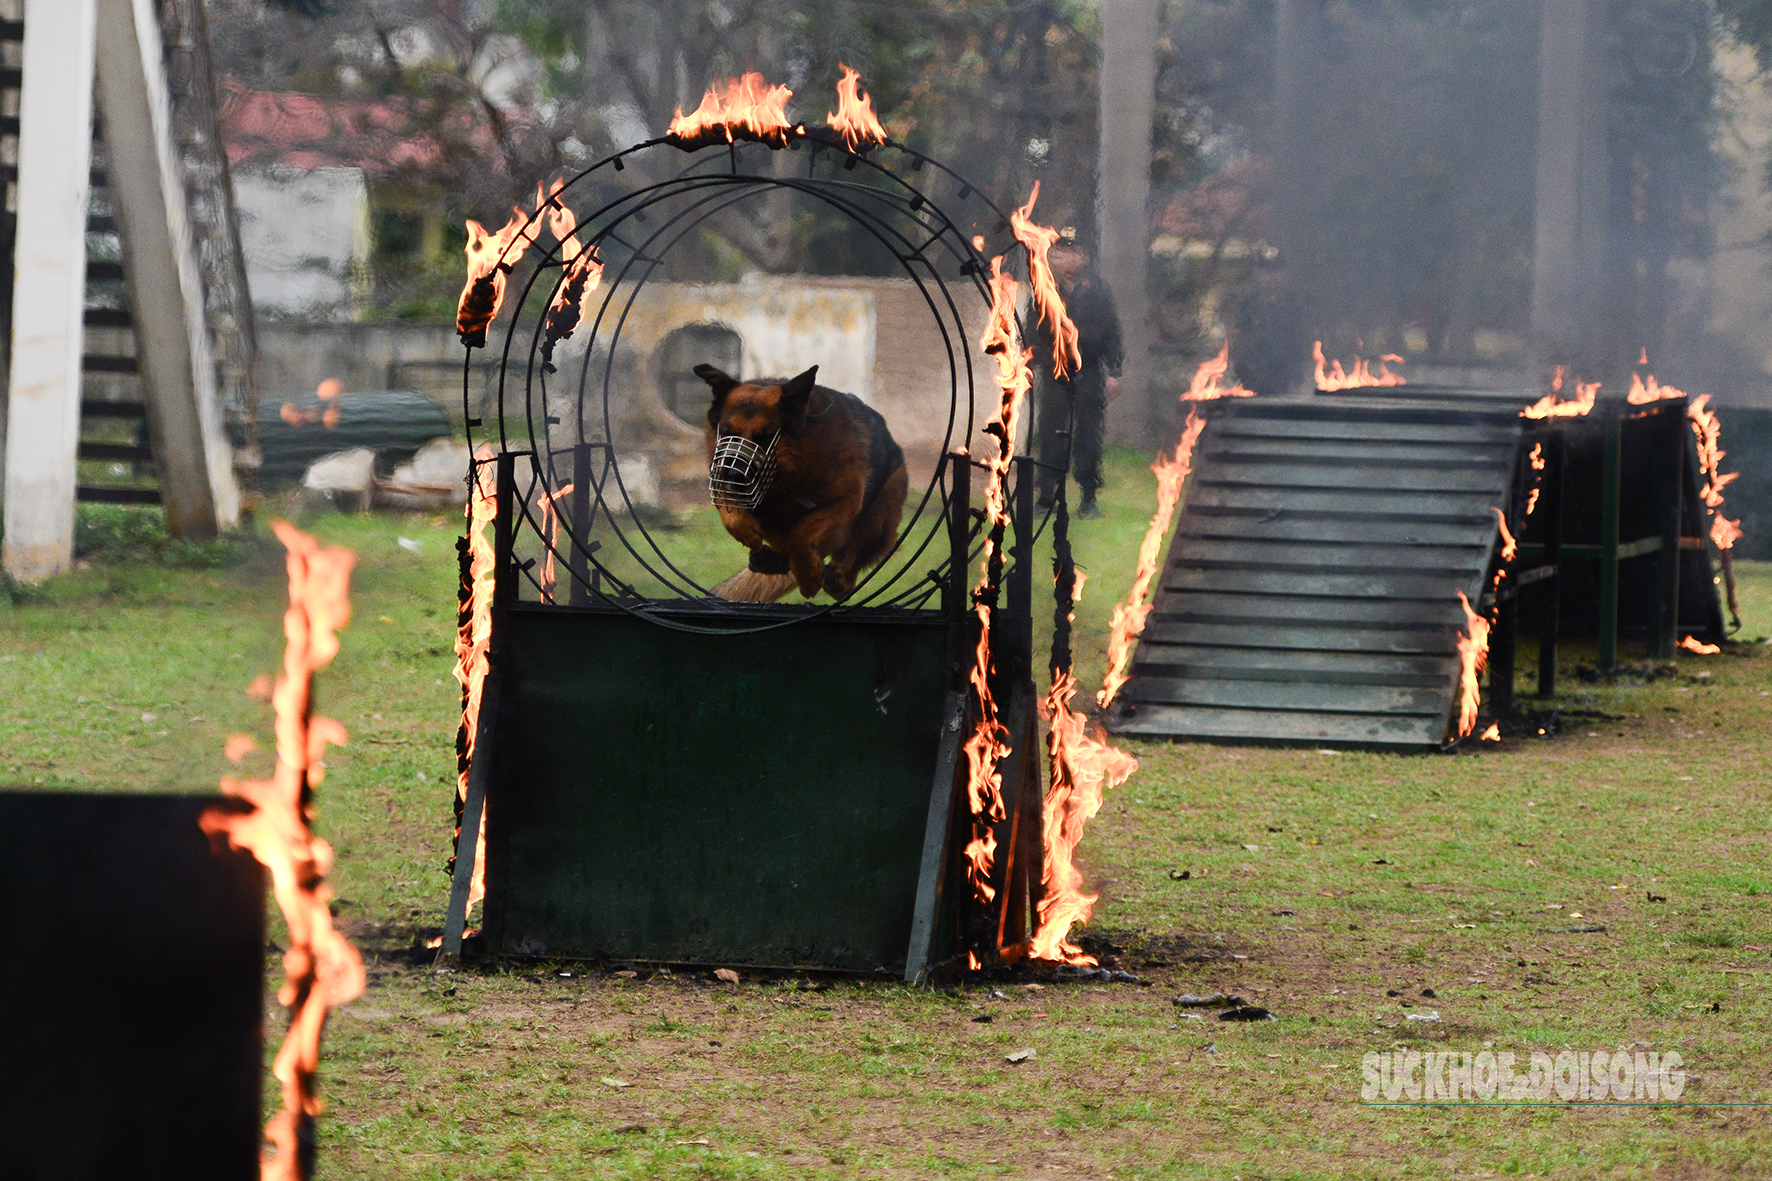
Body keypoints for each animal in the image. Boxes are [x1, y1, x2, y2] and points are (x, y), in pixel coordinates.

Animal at [694, 363, 907, 602]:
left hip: (878, 515)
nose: (733, 475)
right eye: (727, 434)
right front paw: (741, 526)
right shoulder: (719, 472)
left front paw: (807, 573)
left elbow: (801, 530)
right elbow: (729, 508)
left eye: (766, 437)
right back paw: (772, 560)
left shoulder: (847, 499)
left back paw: (838, 578)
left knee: (852, 557)